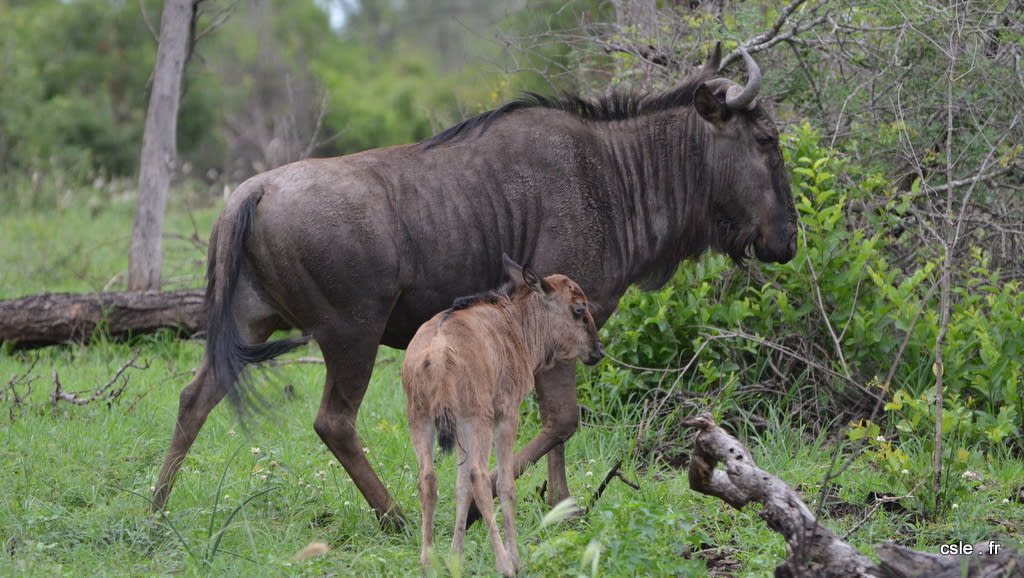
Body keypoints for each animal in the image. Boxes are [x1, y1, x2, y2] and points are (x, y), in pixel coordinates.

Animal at [401, 255, 606, 573]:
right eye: (579, 309)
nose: (598, 350)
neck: (516, 324)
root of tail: (435, 354)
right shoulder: (508, 414)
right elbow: (506, 484)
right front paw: (515, 558)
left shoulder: (458, 426)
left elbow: (460, 486)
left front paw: (456, 557)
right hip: (479, 419)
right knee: (481, 477)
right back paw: (504, 563)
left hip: (421, 420)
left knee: (429, 479)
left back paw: (427, 562)